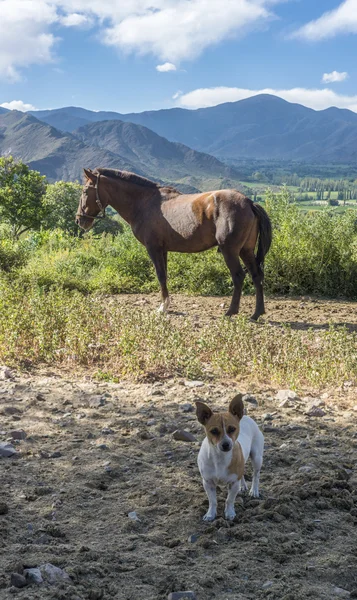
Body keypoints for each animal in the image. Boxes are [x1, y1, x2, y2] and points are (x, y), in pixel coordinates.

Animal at [74, 166, 270, 322]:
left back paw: (230, 312)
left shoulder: (153, 249)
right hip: (246, 251)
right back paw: (256, 314)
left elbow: (160, 275)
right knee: (256, 276)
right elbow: (165, 276)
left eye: (85, 191)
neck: (144, 202)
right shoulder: (163, 250)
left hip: (230, 251)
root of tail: (249, 202)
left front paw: (163, 307)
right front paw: (166, 304)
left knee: (238, 277)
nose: (79, 220)